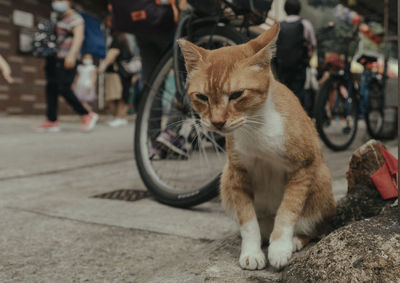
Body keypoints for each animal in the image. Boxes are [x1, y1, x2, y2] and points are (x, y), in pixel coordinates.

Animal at [180, 23, 336, 270]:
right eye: (202, 97)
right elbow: (247, 220)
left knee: (314, 227)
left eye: (236, 94)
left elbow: (288, 210)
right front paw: (251, 252)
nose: (217, 122)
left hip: (321, 178)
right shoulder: (237, 172)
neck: (255, 127)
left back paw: (294, 241)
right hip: (225, 179)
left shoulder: (305, 166)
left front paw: (280, 248)